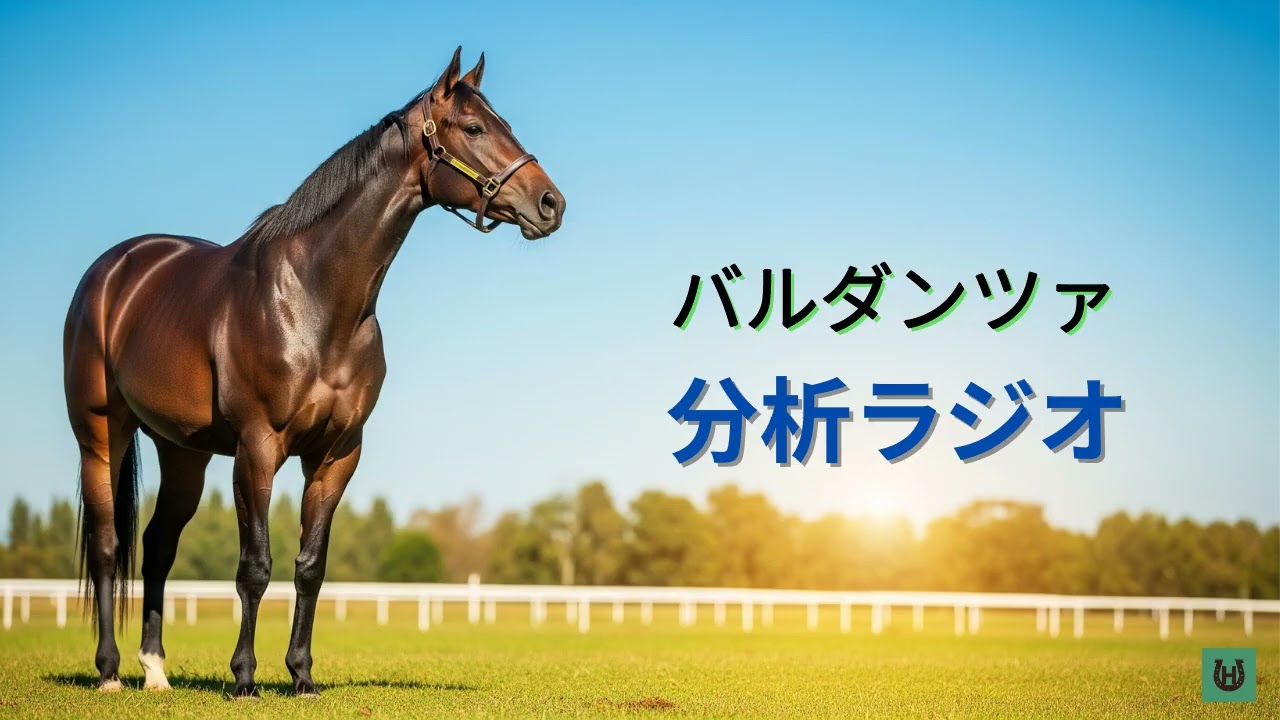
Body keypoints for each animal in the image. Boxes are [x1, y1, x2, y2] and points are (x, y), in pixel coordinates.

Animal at [62, 47, 564, 698]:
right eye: (475, 128)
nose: (551, 203)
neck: (315, 298)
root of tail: (113, 271)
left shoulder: (336, 454)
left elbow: (310, 567)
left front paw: (300, 675)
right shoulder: (257, 448)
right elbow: (255, 568)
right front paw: (245, 678)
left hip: (184, 453)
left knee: (156, 547)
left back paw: (155, 670)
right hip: (101, 435)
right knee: (107, 547)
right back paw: (109, 672)